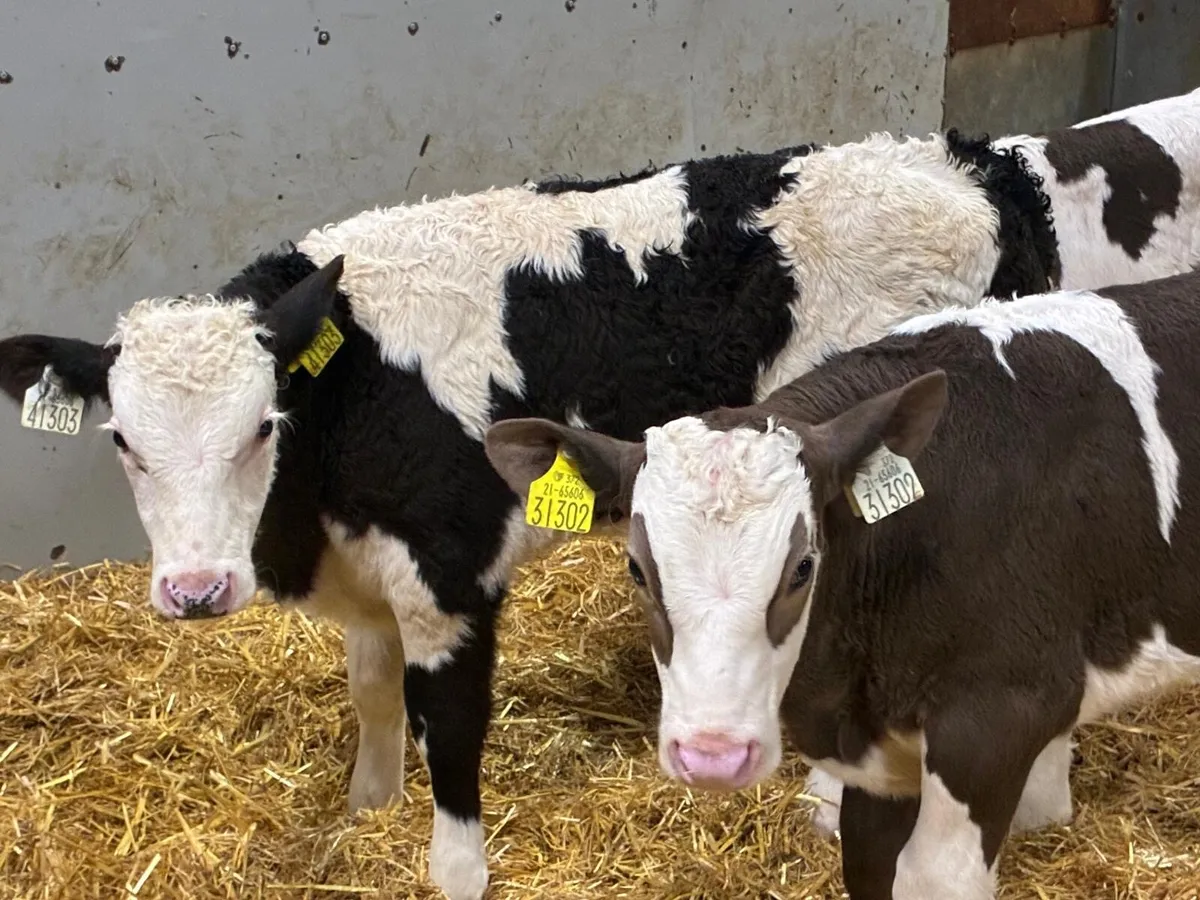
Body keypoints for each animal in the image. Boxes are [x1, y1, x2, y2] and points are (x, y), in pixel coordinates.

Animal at [483, 268, 1200, 900]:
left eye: (804, 566)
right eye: (637, 568)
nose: (714, 754)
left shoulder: (1002, 713)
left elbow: (935, 877)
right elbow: (870, 867)